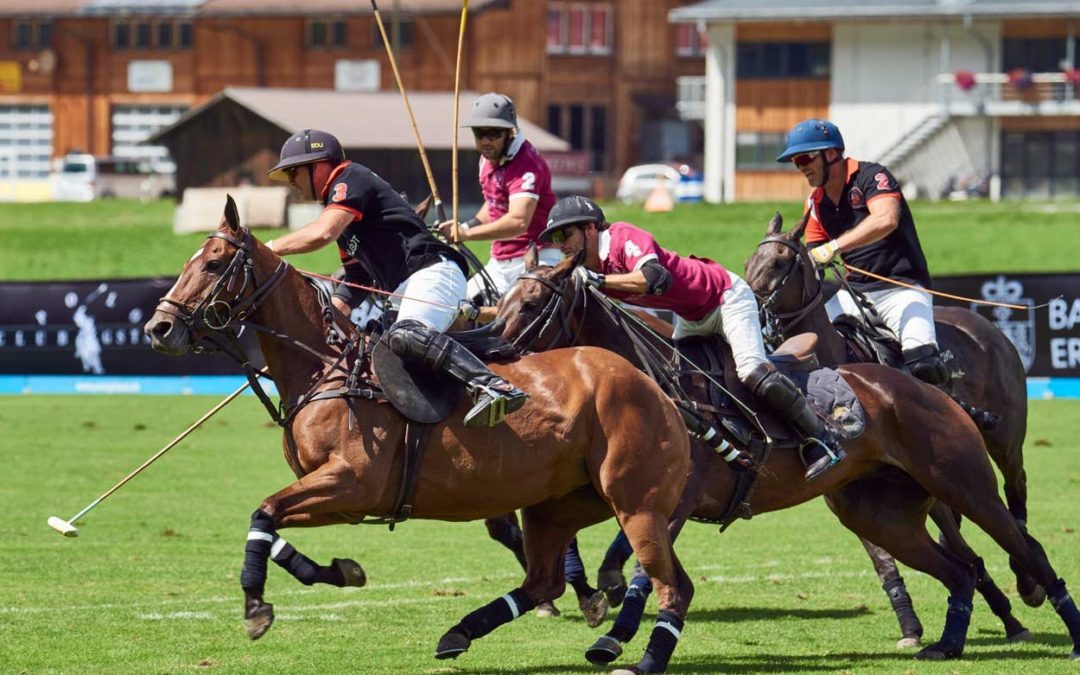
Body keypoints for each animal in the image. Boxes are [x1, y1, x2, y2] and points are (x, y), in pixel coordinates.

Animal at [143, 196, 695, 673]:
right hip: (560, 505)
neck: (327, 367)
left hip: (637, 503)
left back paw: (640, 660)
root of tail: (656, 384)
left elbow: (263, 513)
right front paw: (342, 571)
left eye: (213, 264)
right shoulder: (344, 499)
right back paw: (463, 632)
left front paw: (256, 606)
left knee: (669, 586)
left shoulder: (351, 481)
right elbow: (270, 521)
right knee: (554, 581)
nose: (158, 329)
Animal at [494, 254, 1080, 660]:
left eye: (532, 303)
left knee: (1023, 542)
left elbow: (640, 566)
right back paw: (948, 642)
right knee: (959, 568)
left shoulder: (674, 499)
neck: (656, 386)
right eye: (501, 301)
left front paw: (612, 628)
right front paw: (602, 610)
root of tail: (929, 384)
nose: (494, 352)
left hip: (965, 482)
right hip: (880, 512)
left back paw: (1054, 620)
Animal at [743, 210, 1036, 604]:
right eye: (749, 262)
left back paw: (1027, 576)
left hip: (1005, 436)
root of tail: (987, 326)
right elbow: (886, 557)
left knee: (1015, 482)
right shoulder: (846, 486)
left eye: (779, 261)